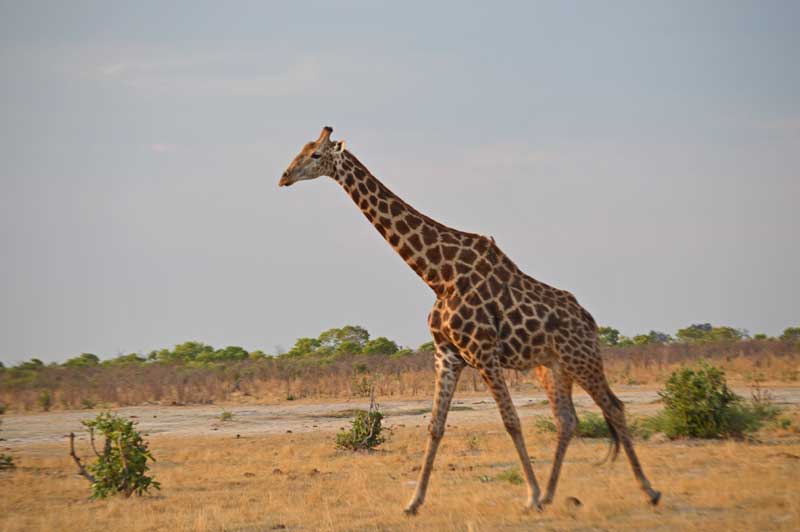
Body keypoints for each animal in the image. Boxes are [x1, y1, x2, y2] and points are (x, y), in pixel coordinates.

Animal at [278, 126, 661, 514]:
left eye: (315, 154)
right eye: (301, 149)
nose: (284, 177)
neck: (438, 274)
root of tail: (590, 321)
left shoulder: (484, 353)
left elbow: (511, 421)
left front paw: (530, 494)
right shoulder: (447, 355)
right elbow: (435, 426)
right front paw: (413, 501)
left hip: (582, 358)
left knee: (613, 407)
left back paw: (648, 491)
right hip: (553, 367)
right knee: (566, 420)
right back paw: (553, 494)